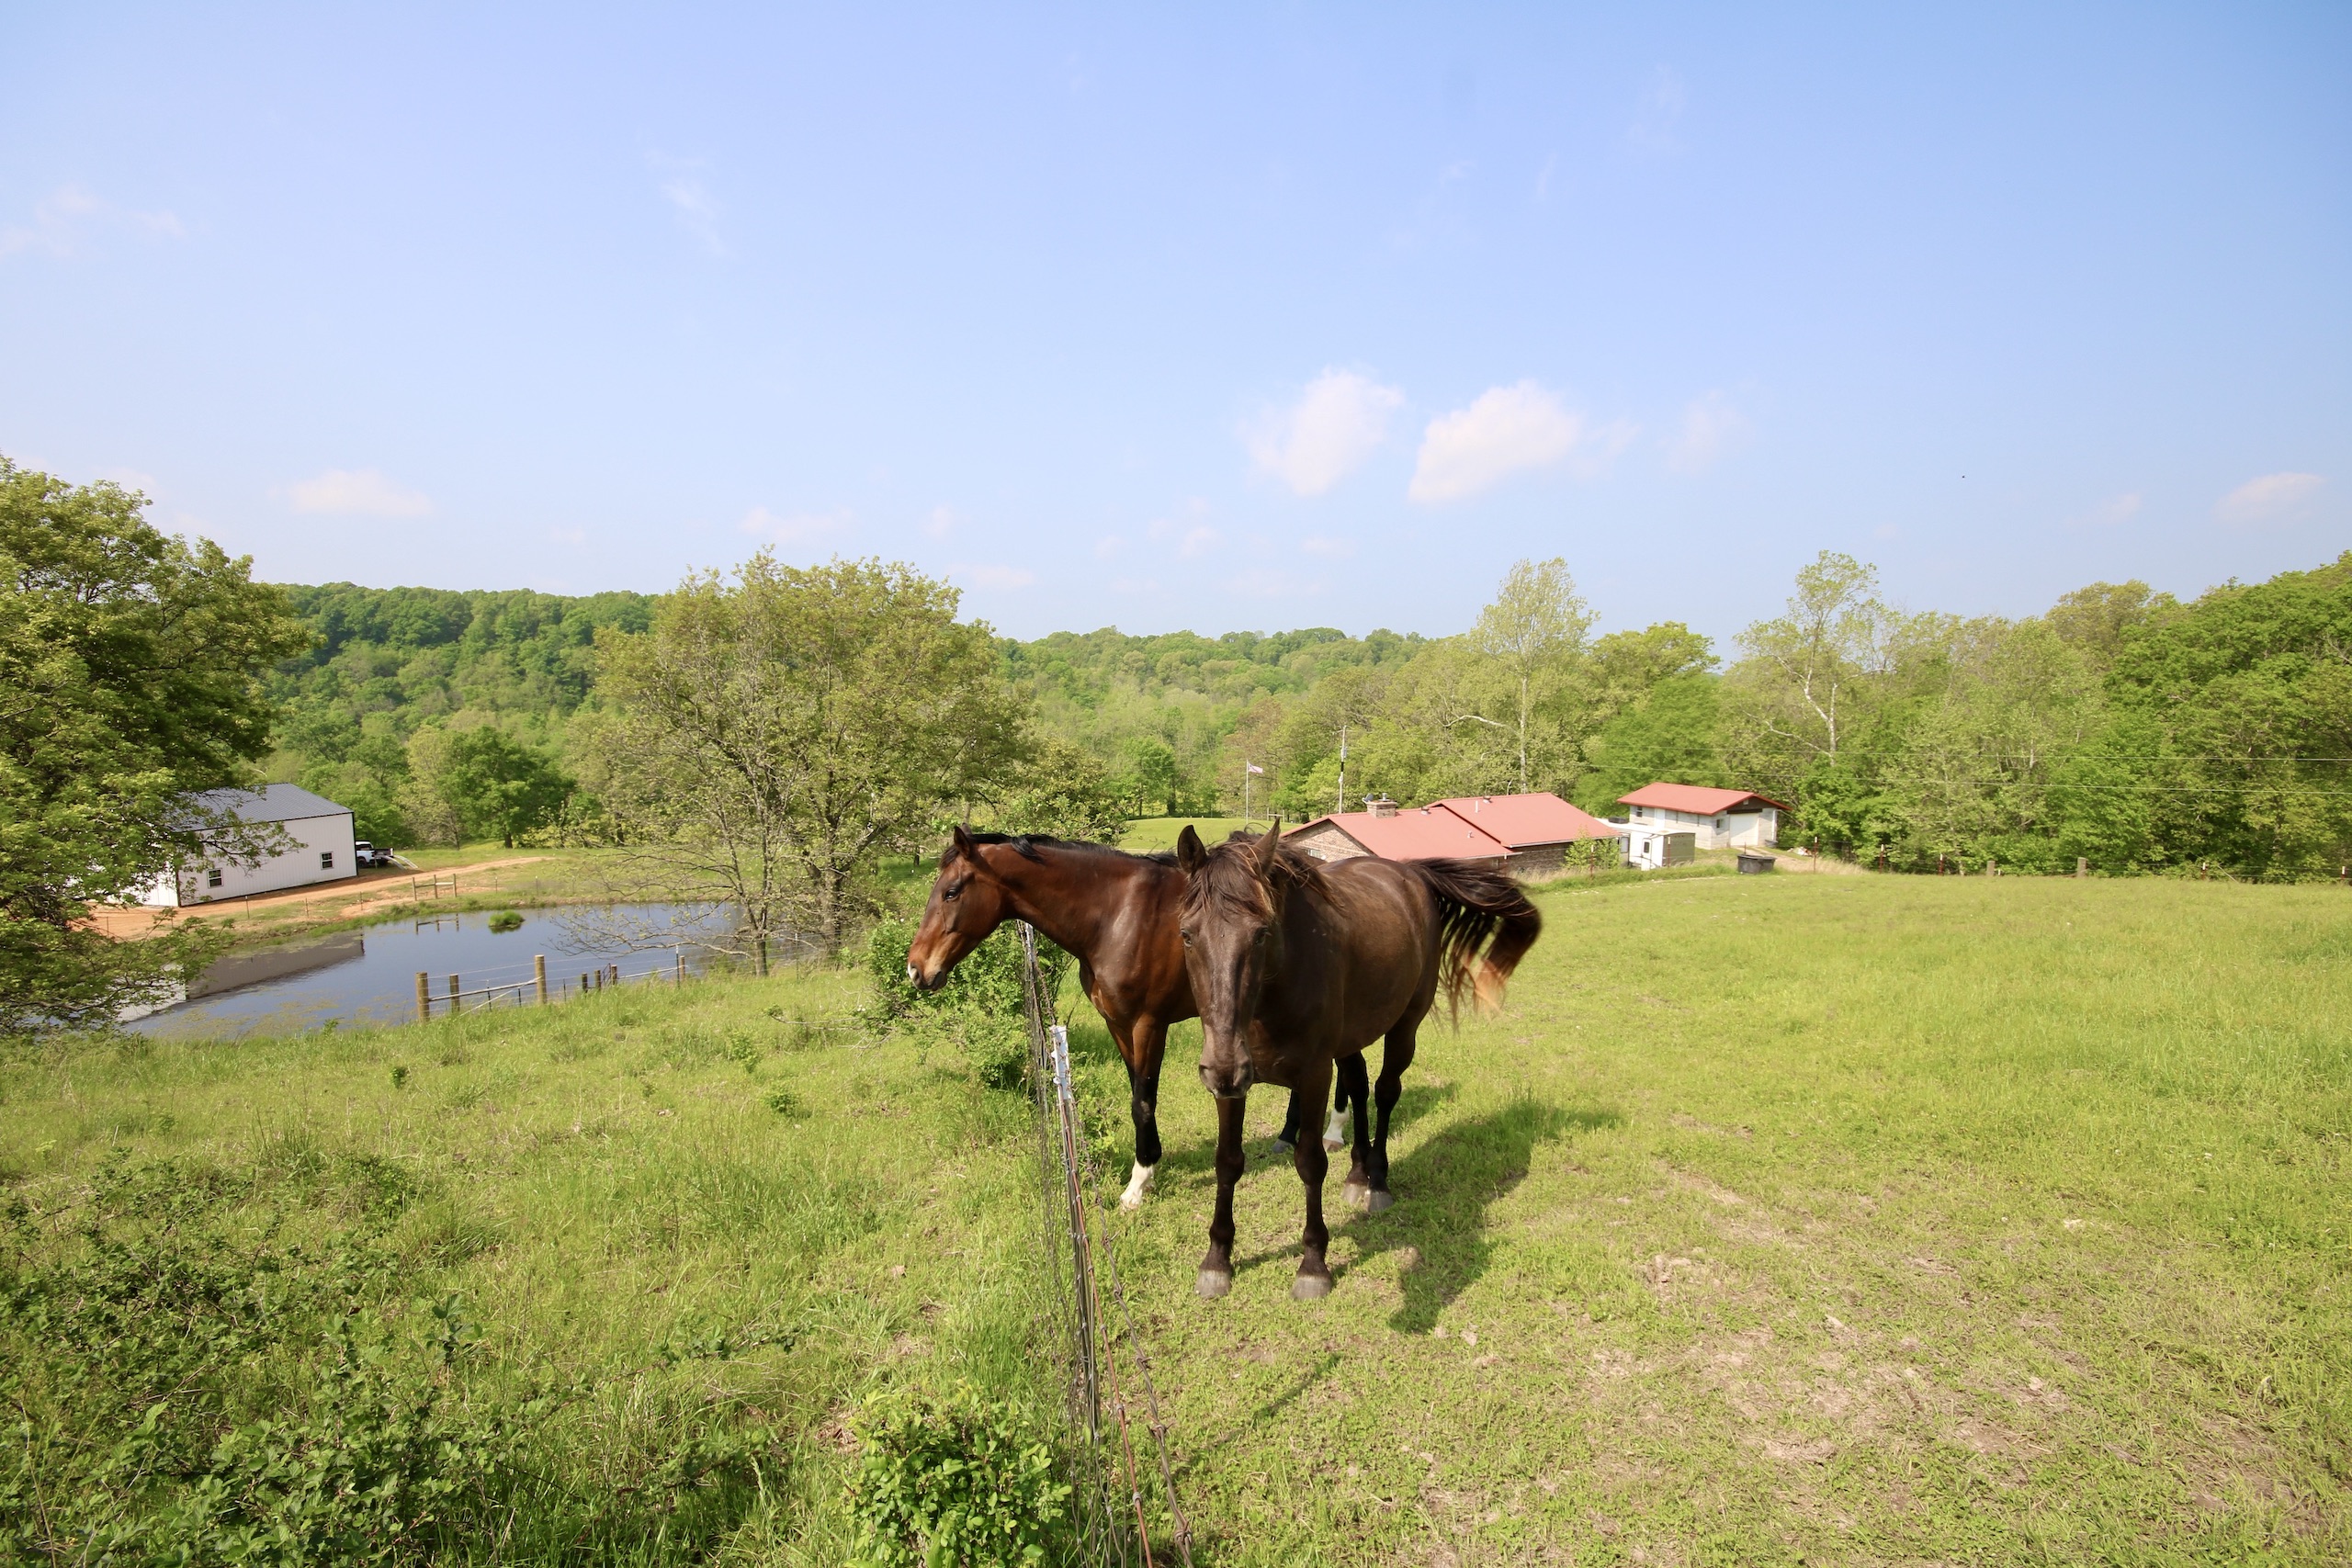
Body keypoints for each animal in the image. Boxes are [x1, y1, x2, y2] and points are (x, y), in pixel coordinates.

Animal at [904, 824, 1336, 1209]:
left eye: (951, 892)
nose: (916, 969)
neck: (1116, 916)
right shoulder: (1118, 1024)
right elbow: (1136, 1092)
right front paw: (1151, 1162)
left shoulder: (1148, 1025)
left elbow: (1143, 1100)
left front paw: (1139, 1182)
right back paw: (1288, 1135)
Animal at [1175, 822, 1541, 1300]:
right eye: (1187, 935)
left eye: (1261, 933)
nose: (1221, 1068)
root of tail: (1411, 875)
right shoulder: (1232, 1082)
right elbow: (1228, 1161)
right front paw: (1217, 1259)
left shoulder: (1313, 1076)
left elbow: (1310, 1163)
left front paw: (1313, 1265)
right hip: (1347, 1040)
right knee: (1360, 1085)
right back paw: (1357, 1175)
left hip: (1404, 1026)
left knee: (1384, 1092)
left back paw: (1378, 1181)